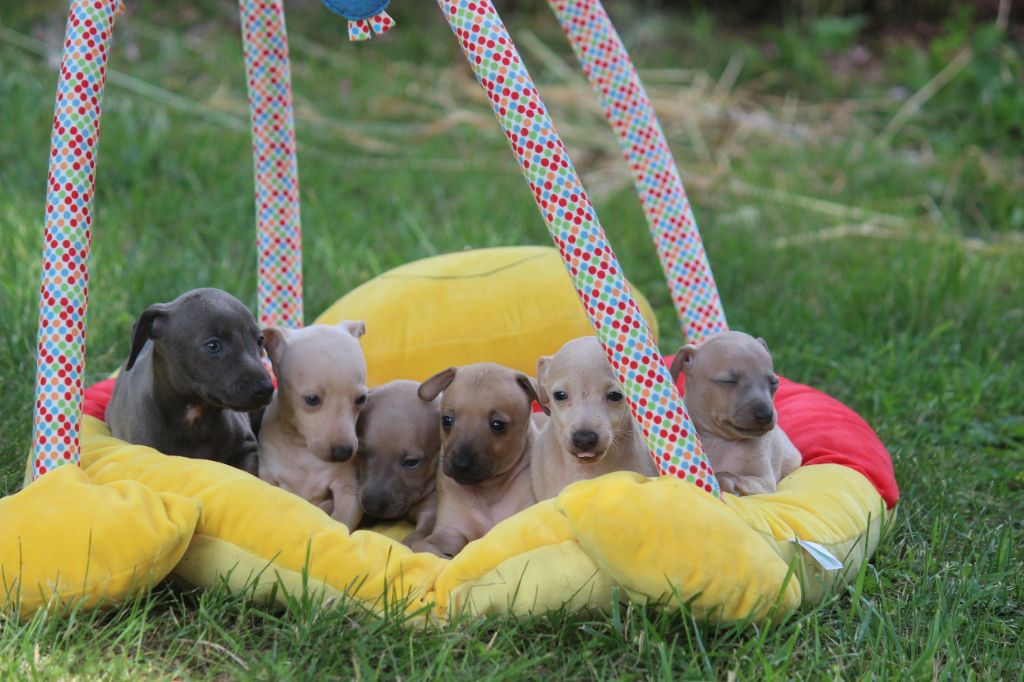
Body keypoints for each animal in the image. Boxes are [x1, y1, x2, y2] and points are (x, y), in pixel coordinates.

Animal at [254, 321, 368, 528]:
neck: (303, 450)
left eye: (361, 399)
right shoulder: (267, 475)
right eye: (312, 399)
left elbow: (342, 519)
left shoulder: (347, 485)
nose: (343, 453)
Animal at [667, 329, 802, 493]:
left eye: (773, 382)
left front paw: (727, 485)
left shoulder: (765, 482)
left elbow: (729, 474)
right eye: (729, 381)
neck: (718, 440)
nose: (766, 415)